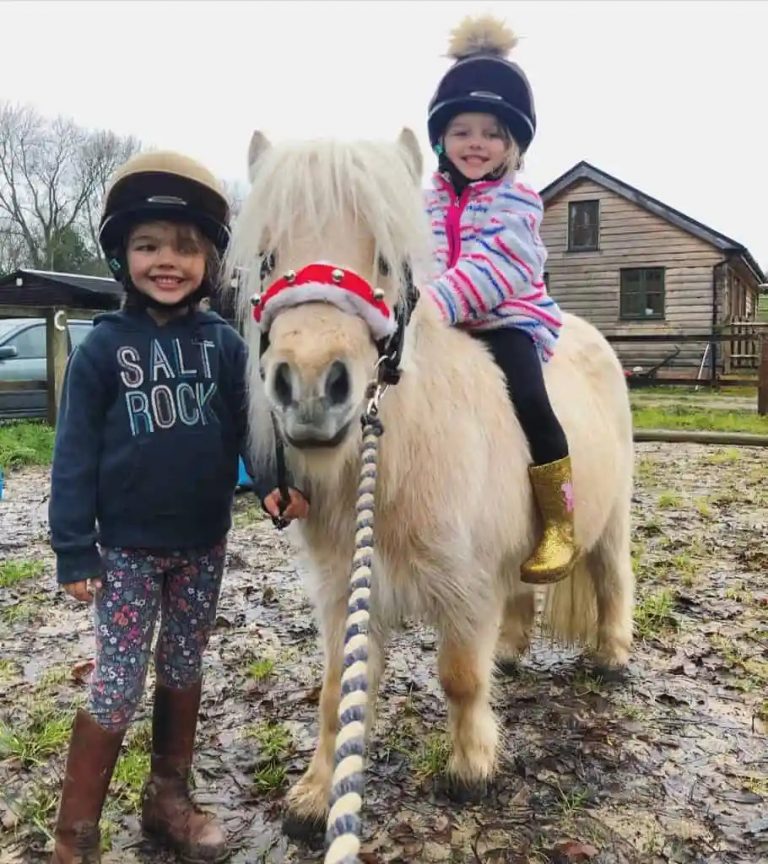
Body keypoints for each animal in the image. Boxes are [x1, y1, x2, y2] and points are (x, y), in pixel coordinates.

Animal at [230, 128, 636, 832]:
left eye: (388, 262)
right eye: (268, 257)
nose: (310, 388)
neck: (399, 461)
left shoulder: (466, 590)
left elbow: (460, 678)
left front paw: (471, 768)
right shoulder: (346, 593)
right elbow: (337, 693)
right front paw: (315, 795)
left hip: (609, 526)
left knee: (612, 580)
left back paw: (611, 657)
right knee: (522, 591)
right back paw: (511, 649)